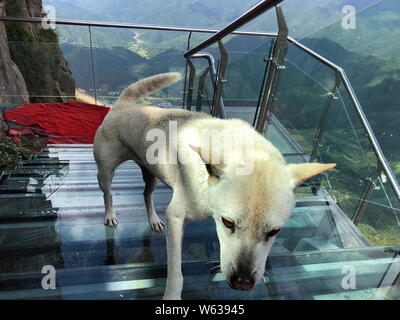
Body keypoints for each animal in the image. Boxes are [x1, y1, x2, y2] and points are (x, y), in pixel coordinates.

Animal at [93, 73, 334, 300]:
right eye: (228, 223)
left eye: (274, 231)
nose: (242, 283)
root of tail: (123, 104)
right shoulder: (175, 216)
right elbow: (176, 271)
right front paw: (172, 295)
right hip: (105, 171)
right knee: (107, 194)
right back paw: (110, 216)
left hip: (150, 172)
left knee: (146, 194)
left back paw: (153, 220)